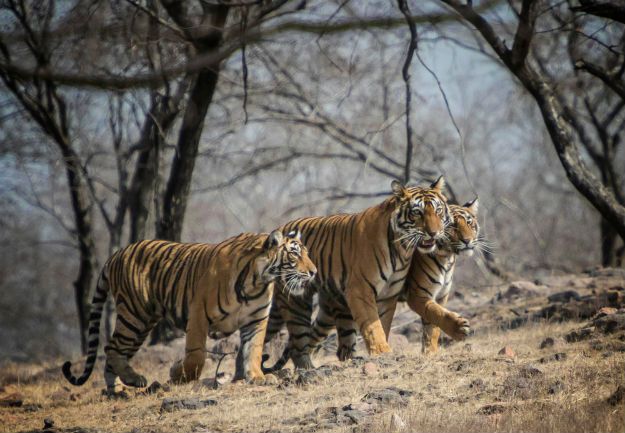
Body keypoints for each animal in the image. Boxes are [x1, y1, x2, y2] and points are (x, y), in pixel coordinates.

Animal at [61, 230, 314, 388]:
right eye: (294, 253)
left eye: (307, 253)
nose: (314, 272)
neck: (257, 280)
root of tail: (116, 254)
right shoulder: (198, 313)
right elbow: (197, 354)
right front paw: (177, 373)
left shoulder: (256, 320)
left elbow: (253, 349)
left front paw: (258, 377)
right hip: (135, 315)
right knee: (112, 348)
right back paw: (134, 380)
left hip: (141, 322)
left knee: (115, 351)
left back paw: (117, 389)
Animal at [260, 177, 458, 370]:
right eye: (417, 212)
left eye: (438, 211)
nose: (434, 233)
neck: (403, 250)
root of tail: (280, 228)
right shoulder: (360, 290)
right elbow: (373, 325)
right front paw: (382, 351)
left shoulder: (388, 295)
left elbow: (383, 324)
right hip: (296, 301)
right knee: (295, 342)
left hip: (330, 308)